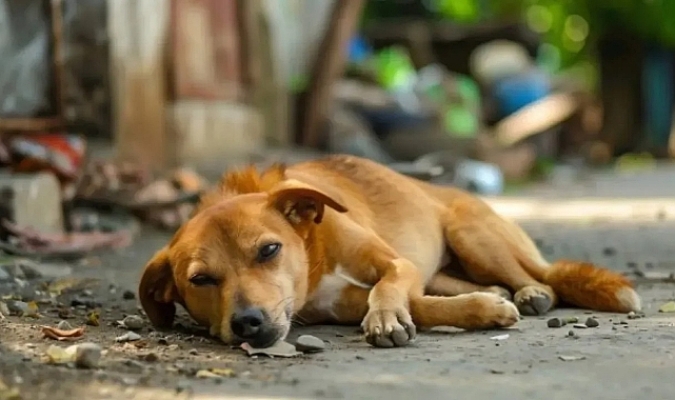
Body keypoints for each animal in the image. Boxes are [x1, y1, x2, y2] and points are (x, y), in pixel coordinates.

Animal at [139, 155, 640, 348]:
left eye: (269, 250)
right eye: (200, 280)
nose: (248, 323)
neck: (314, 254)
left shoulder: (397, 264)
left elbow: (390, 288)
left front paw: (384, 319)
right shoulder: (339, 304)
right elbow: (421, 304)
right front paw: (483, 309)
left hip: (472, 234)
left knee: (540, 277)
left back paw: (531, 292)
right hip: (448, 264)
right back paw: (499, 293)